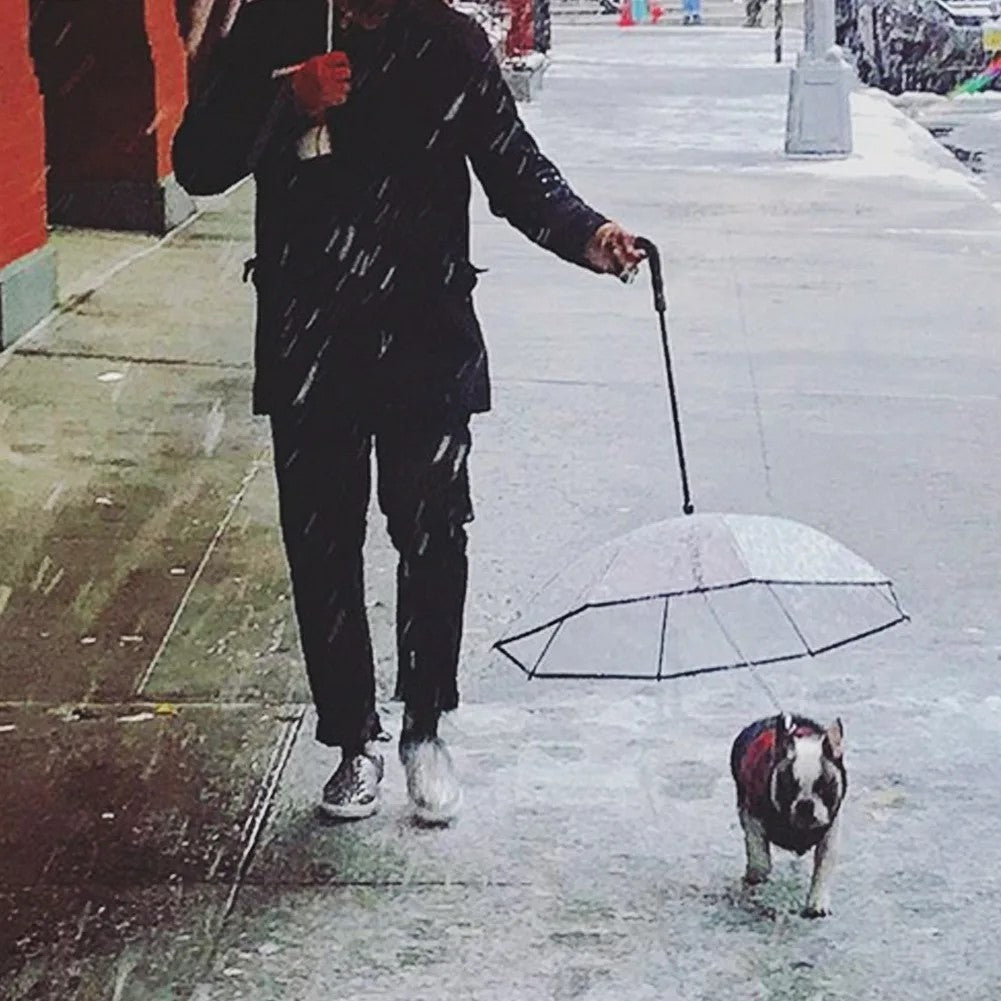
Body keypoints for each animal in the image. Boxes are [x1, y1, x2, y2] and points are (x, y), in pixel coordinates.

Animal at [728, 712, 844, 916]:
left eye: (823, 788)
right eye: (789, 787)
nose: (805, 805)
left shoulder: (829, 832)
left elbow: (823, 867)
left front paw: (817, 901)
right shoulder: (751, 815)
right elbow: (758, 853)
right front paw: (757, 871)